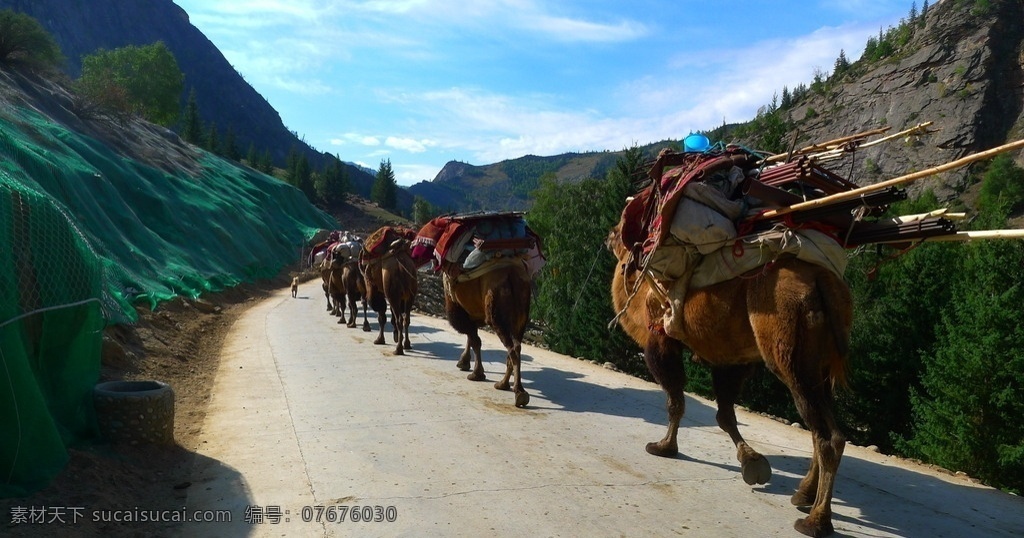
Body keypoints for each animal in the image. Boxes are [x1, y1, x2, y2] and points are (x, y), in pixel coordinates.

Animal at [606, 223, 856, 536]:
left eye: (618, 230)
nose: (608, 237)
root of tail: (821, 280)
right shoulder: (729, 358)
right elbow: (725, 415)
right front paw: (752, 462)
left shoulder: (660, 340)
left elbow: (676, 401)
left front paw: (664, 447)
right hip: (819, 365)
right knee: (825, 430)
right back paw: (803, 495)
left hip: (789, 354)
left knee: (825, 434)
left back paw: (815, 521)